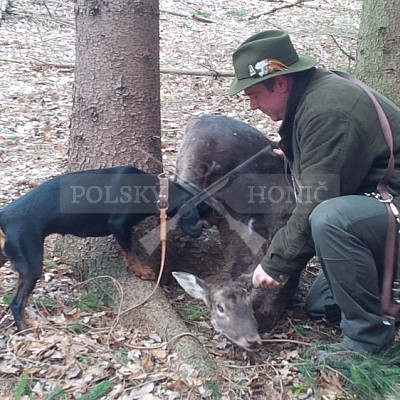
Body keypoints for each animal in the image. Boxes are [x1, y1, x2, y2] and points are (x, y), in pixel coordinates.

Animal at [0, 166, 206, 332]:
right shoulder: (119, 224)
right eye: (205, 209)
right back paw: (24, 329)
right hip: (31, 265)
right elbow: (130, 252)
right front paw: (141, 271)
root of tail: (4, 217)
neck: (157, 191)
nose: (204, 231)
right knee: (16, 304)